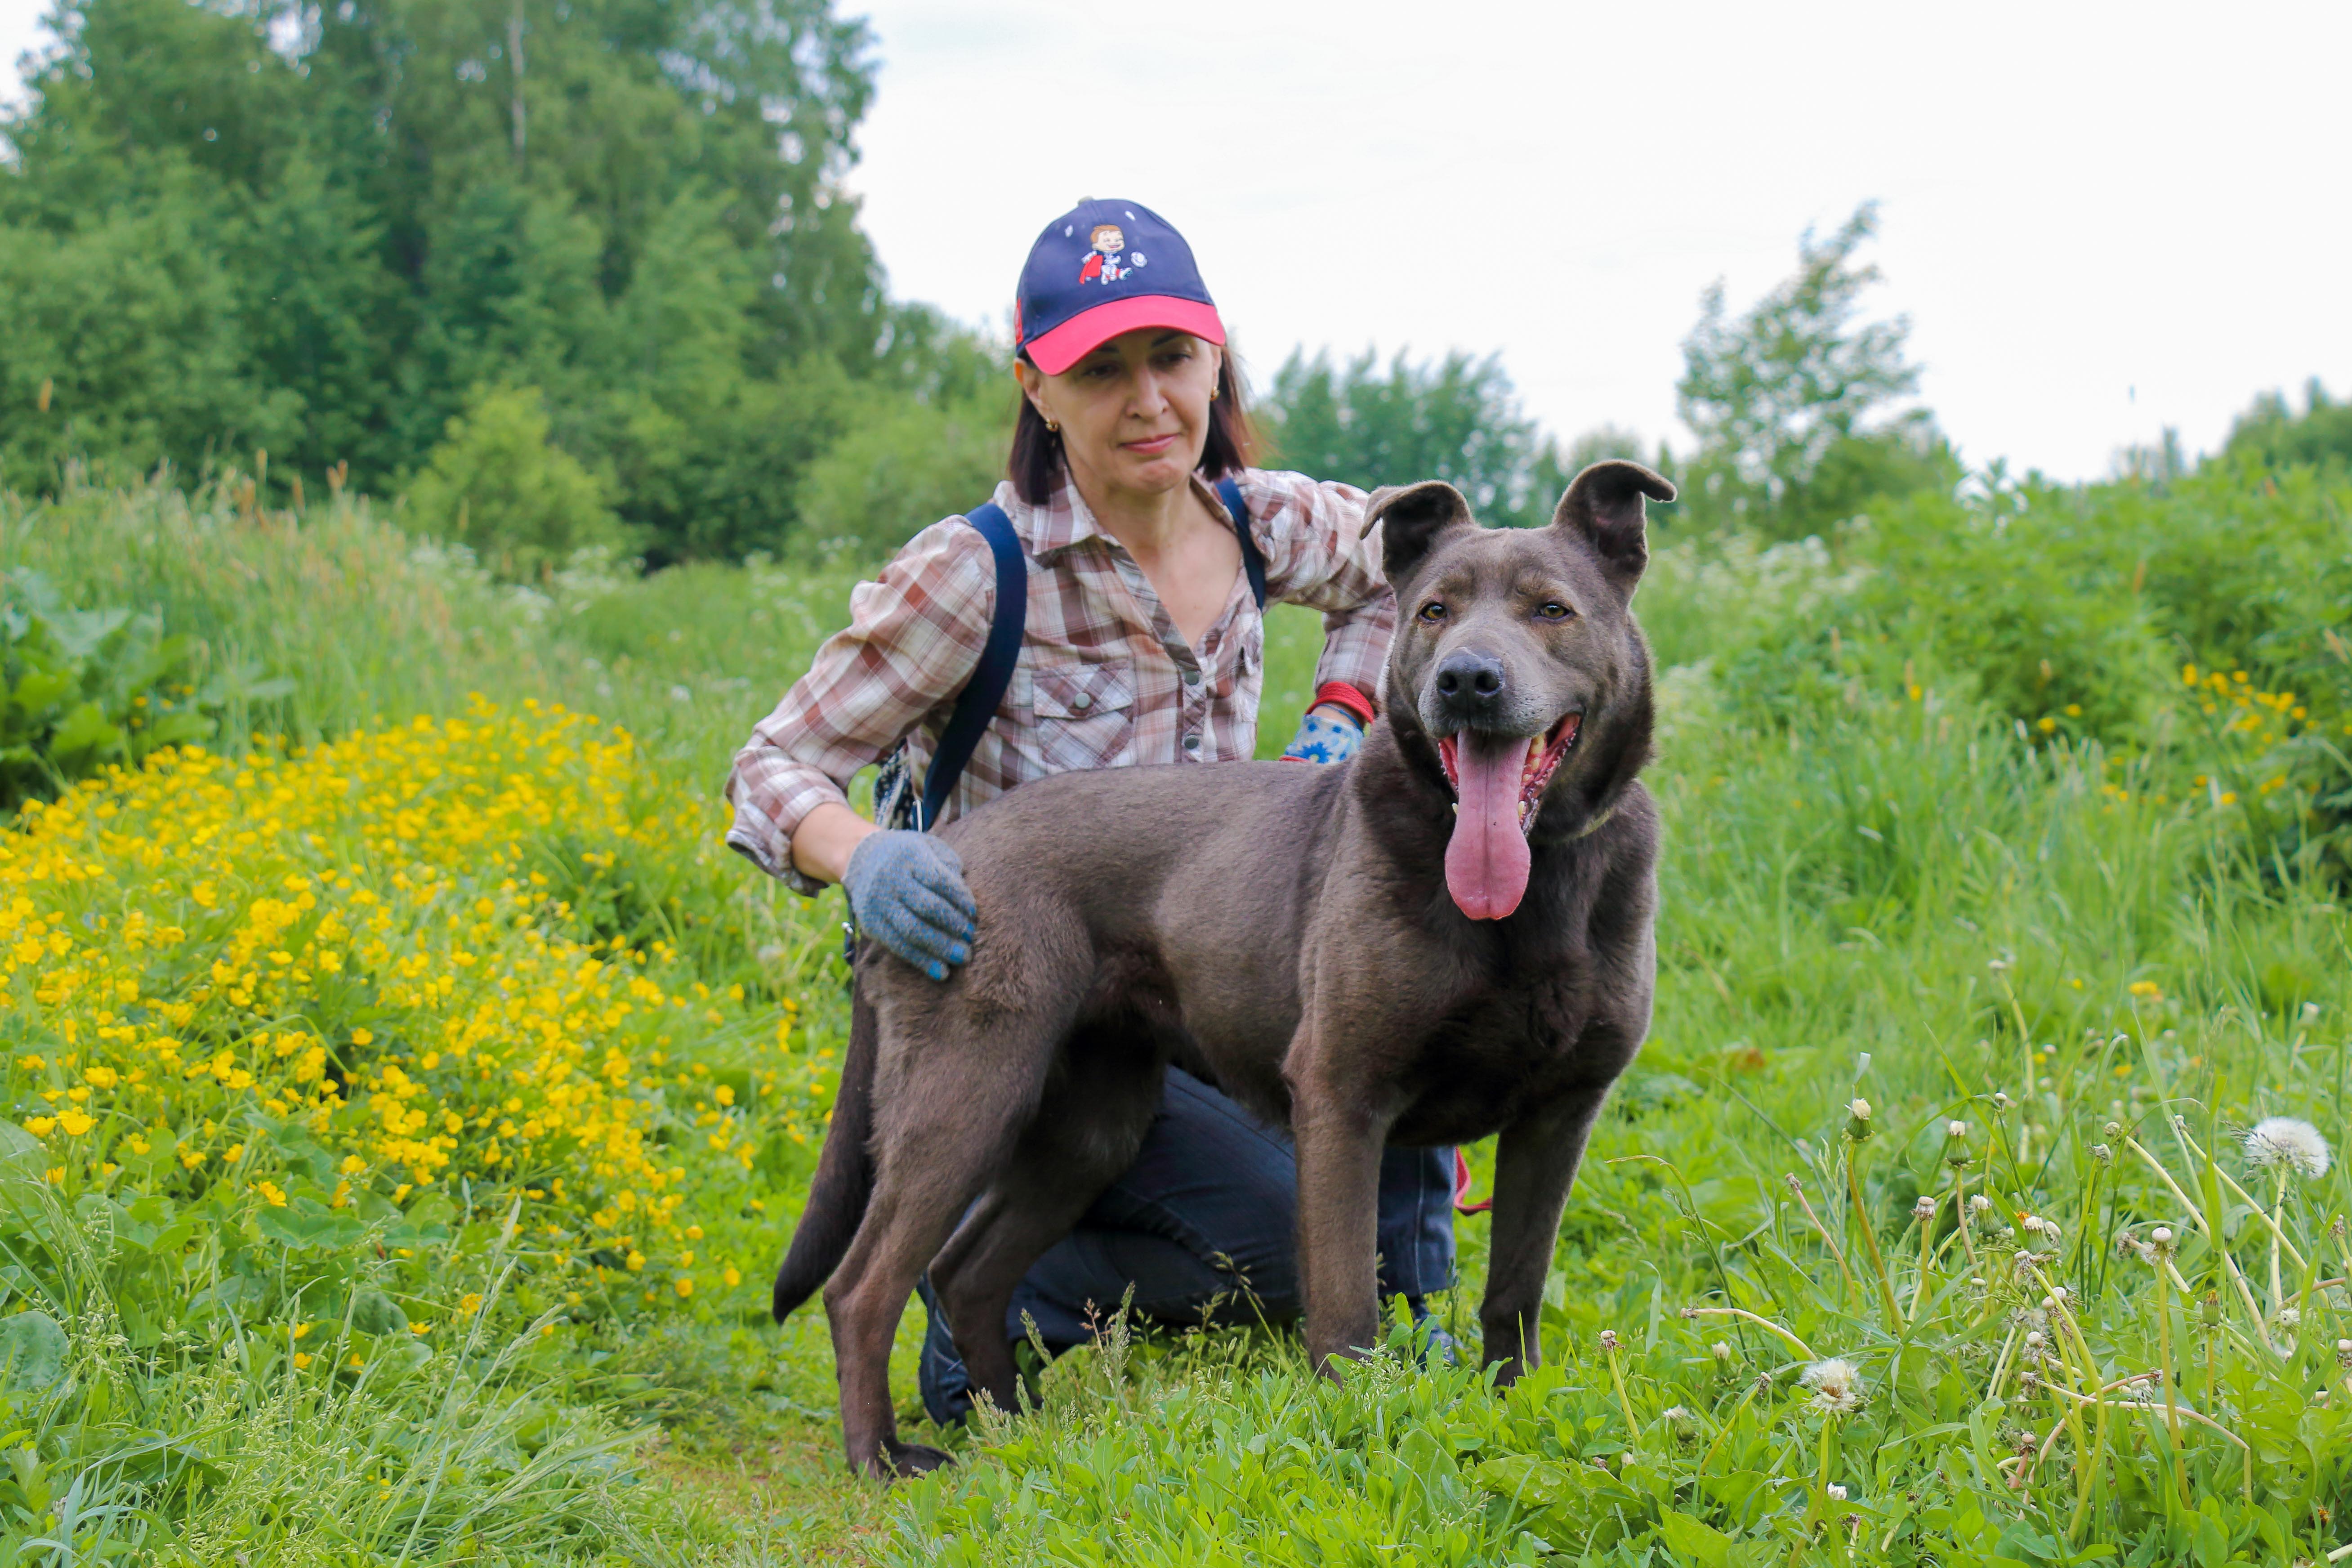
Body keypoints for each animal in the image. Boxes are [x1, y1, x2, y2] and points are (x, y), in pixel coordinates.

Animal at [771, 460, 1674, 1476]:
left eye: (1551, 609)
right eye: (1434, 611)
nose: (1467, 681)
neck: (1529, 892)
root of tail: (931, 850)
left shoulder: (1558, 1118)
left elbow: (1511, 1294)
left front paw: (1516, 1417)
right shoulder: (1341, 1100)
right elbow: (1345, 1310)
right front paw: (1355, 1441)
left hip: (1088, 1128)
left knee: (964, 1272)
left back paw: (1014, 1427)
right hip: (968, 1094)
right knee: (863, 1285)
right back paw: (882, 1457)